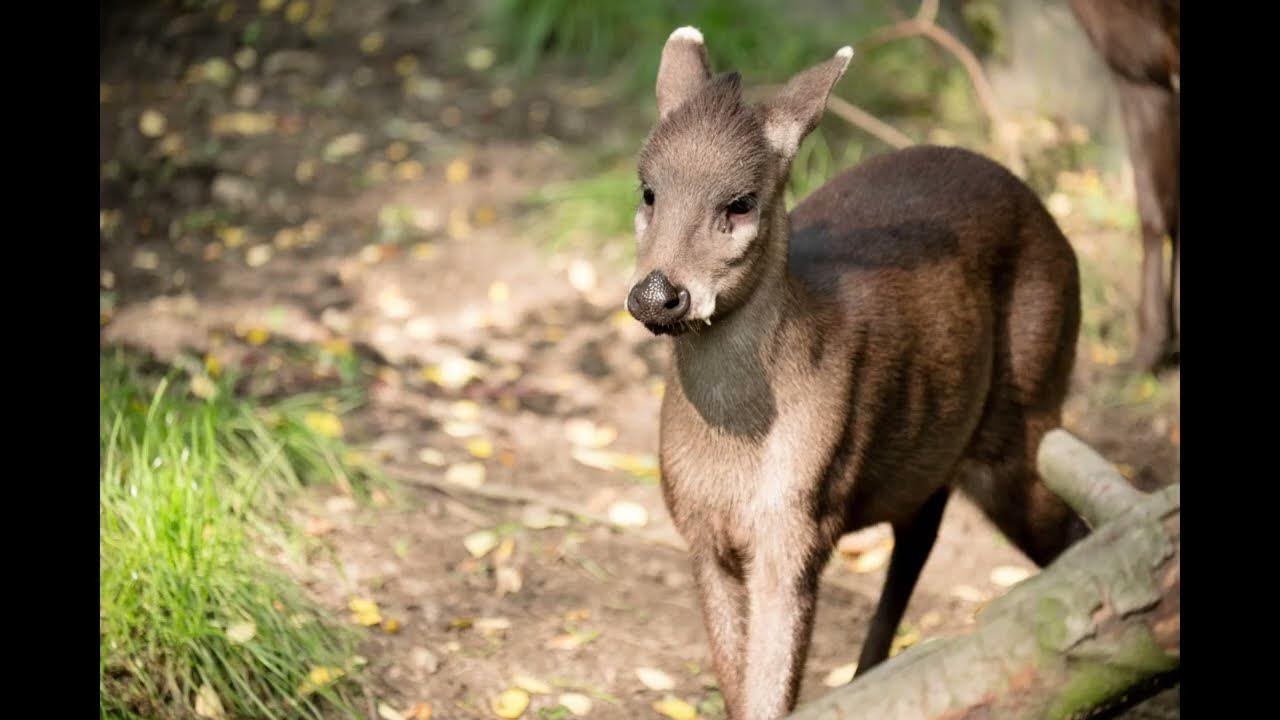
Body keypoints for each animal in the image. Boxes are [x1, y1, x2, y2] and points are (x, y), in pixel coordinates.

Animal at [624, 25, 1095, 712]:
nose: (657, 294)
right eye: (648, 191)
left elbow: (770, 692)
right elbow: (738, 687)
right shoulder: (699, 531)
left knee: (1074, 536)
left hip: (1030, 406)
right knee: (920, 534)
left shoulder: (799, 520)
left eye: (740, 202)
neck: (732, 458)